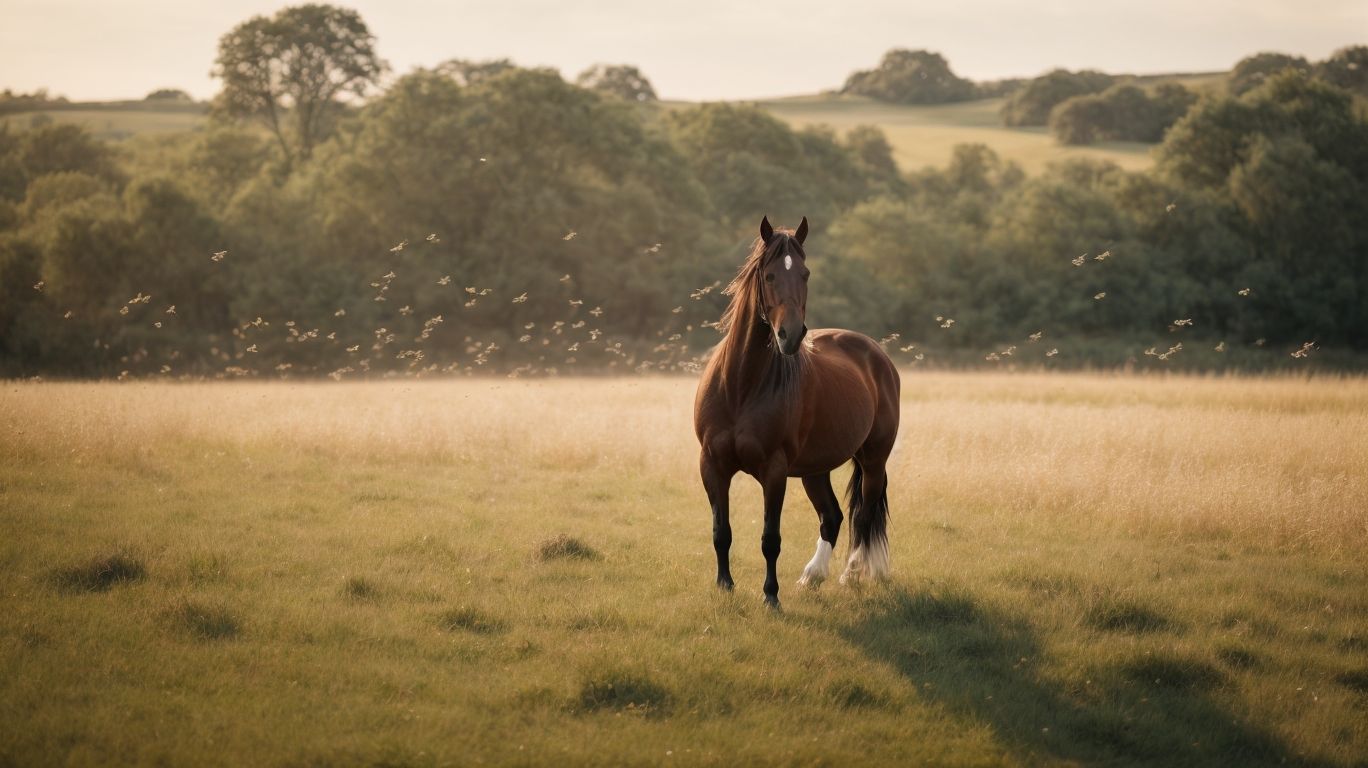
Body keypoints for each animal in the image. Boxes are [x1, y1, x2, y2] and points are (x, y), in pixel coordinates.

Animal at [693, 215, 901, 608]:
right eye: (769, 274)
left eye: (805, 273)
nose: (790, 336)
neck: (741, 386)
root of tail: (876, 355)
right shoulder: (712, 465)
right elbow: (720, 531)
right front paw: (724, 586)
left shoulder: (774, 471)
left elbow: (770, 539)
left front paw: (770, 597)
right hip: (814, 469)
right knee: (832, 516)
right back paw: (812, 576)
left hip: (873, 459)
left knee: (865, 515)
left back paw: (851, 573)